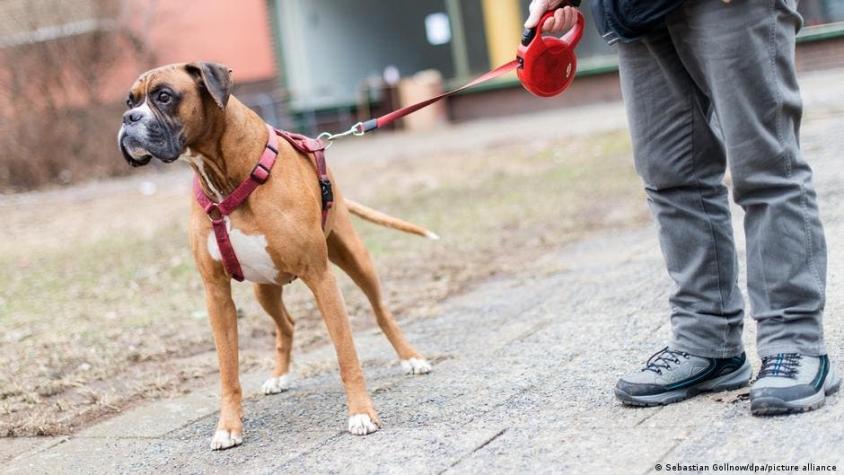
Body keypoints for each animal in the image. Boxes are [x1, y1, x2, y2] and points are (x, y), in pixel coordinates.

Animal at [117, 62, 436, 450]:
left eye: (164, 96)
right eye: (130, 101)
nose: (128, 118)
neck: (226, 176)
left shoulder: (321, 277)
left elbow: (346, 353)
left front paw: (362, 413)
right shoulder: (216, 293)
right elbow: (228, 370)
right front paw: (228, 427)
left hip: (356, 261)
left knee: (381, 312)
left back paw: (411, 358)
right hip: (264, 289)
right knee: (287, 325)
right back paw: (279, 376)